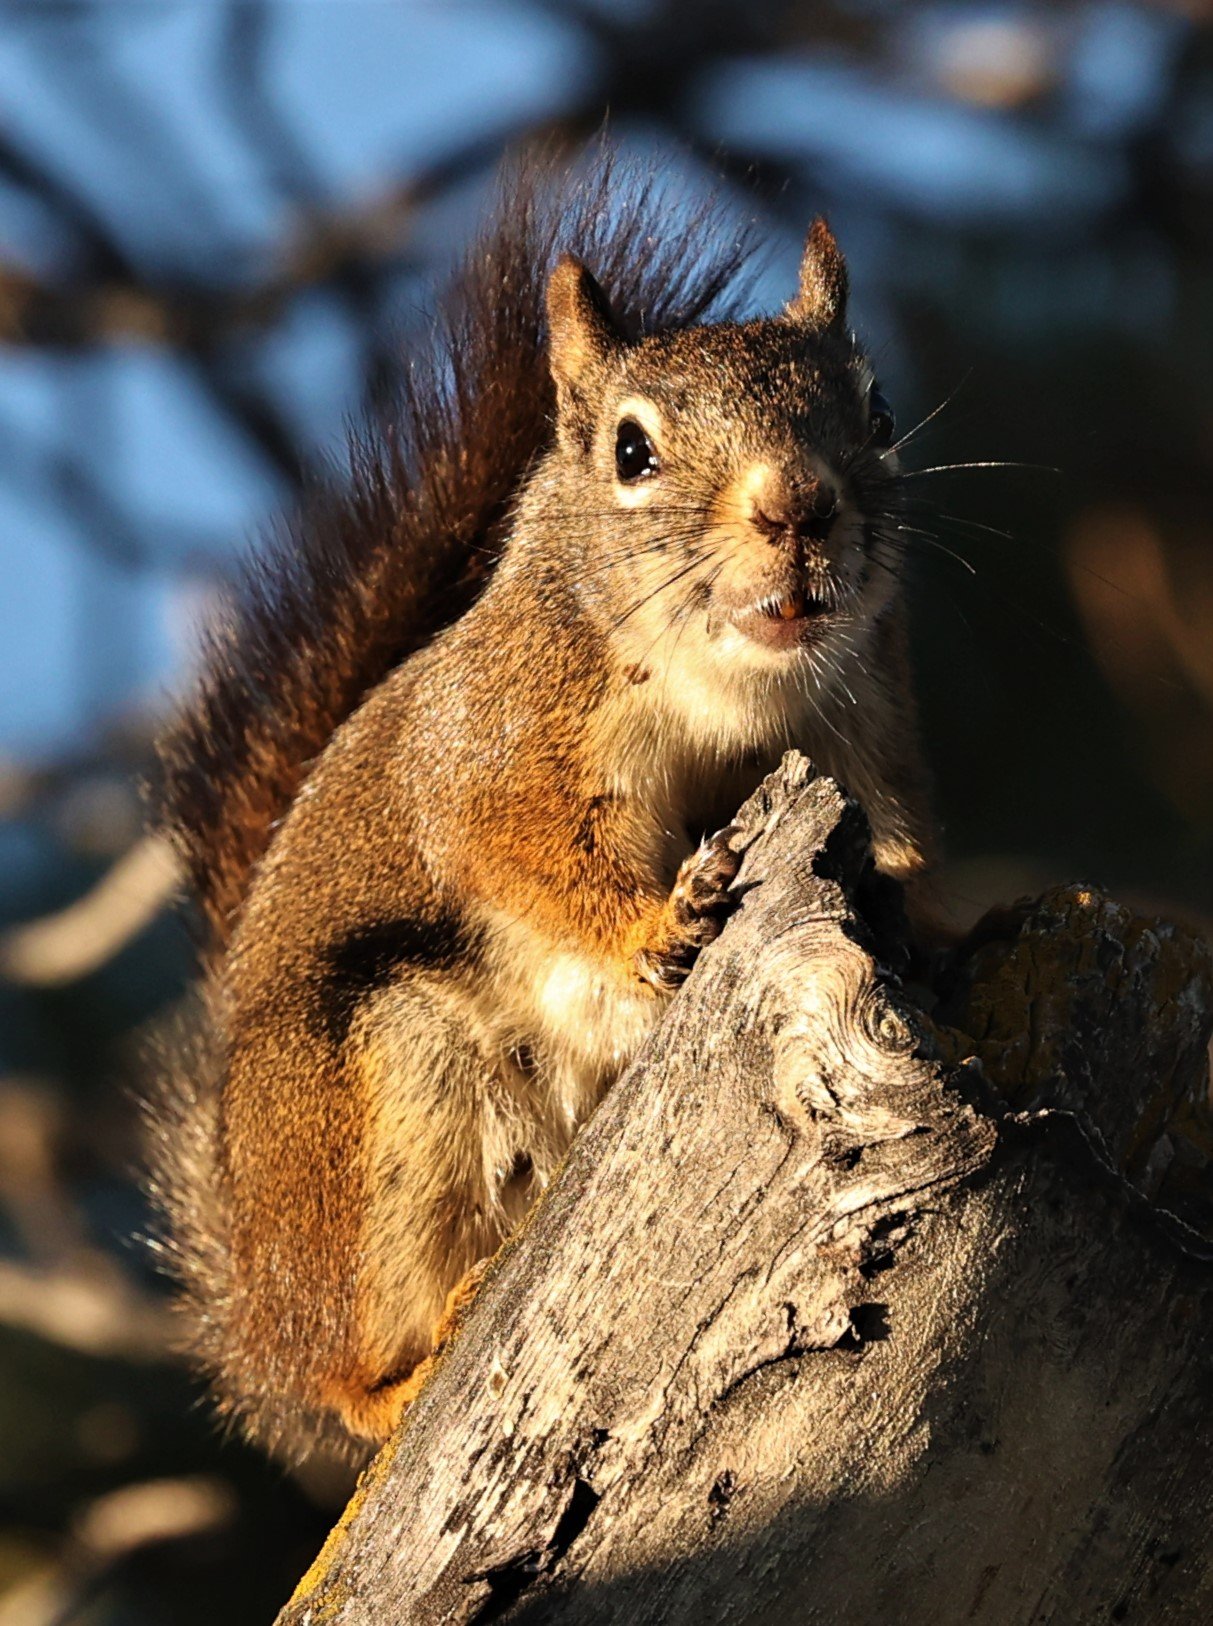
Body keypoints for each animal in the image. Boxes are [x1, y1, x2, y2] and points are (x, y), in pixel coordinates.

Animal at [149, 152, 936, 1462]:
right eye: (630, 452)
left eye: (876, 415)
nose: (798, 504)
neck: (733, 699)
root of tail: (251, 1301)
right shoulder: (502, 746)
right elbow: (521, 853)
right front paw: (661, 921)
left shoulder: (861, 728)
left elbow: (900, 837)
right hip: (376, 1089)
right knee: (345, 1372)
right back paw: (400, 1375)